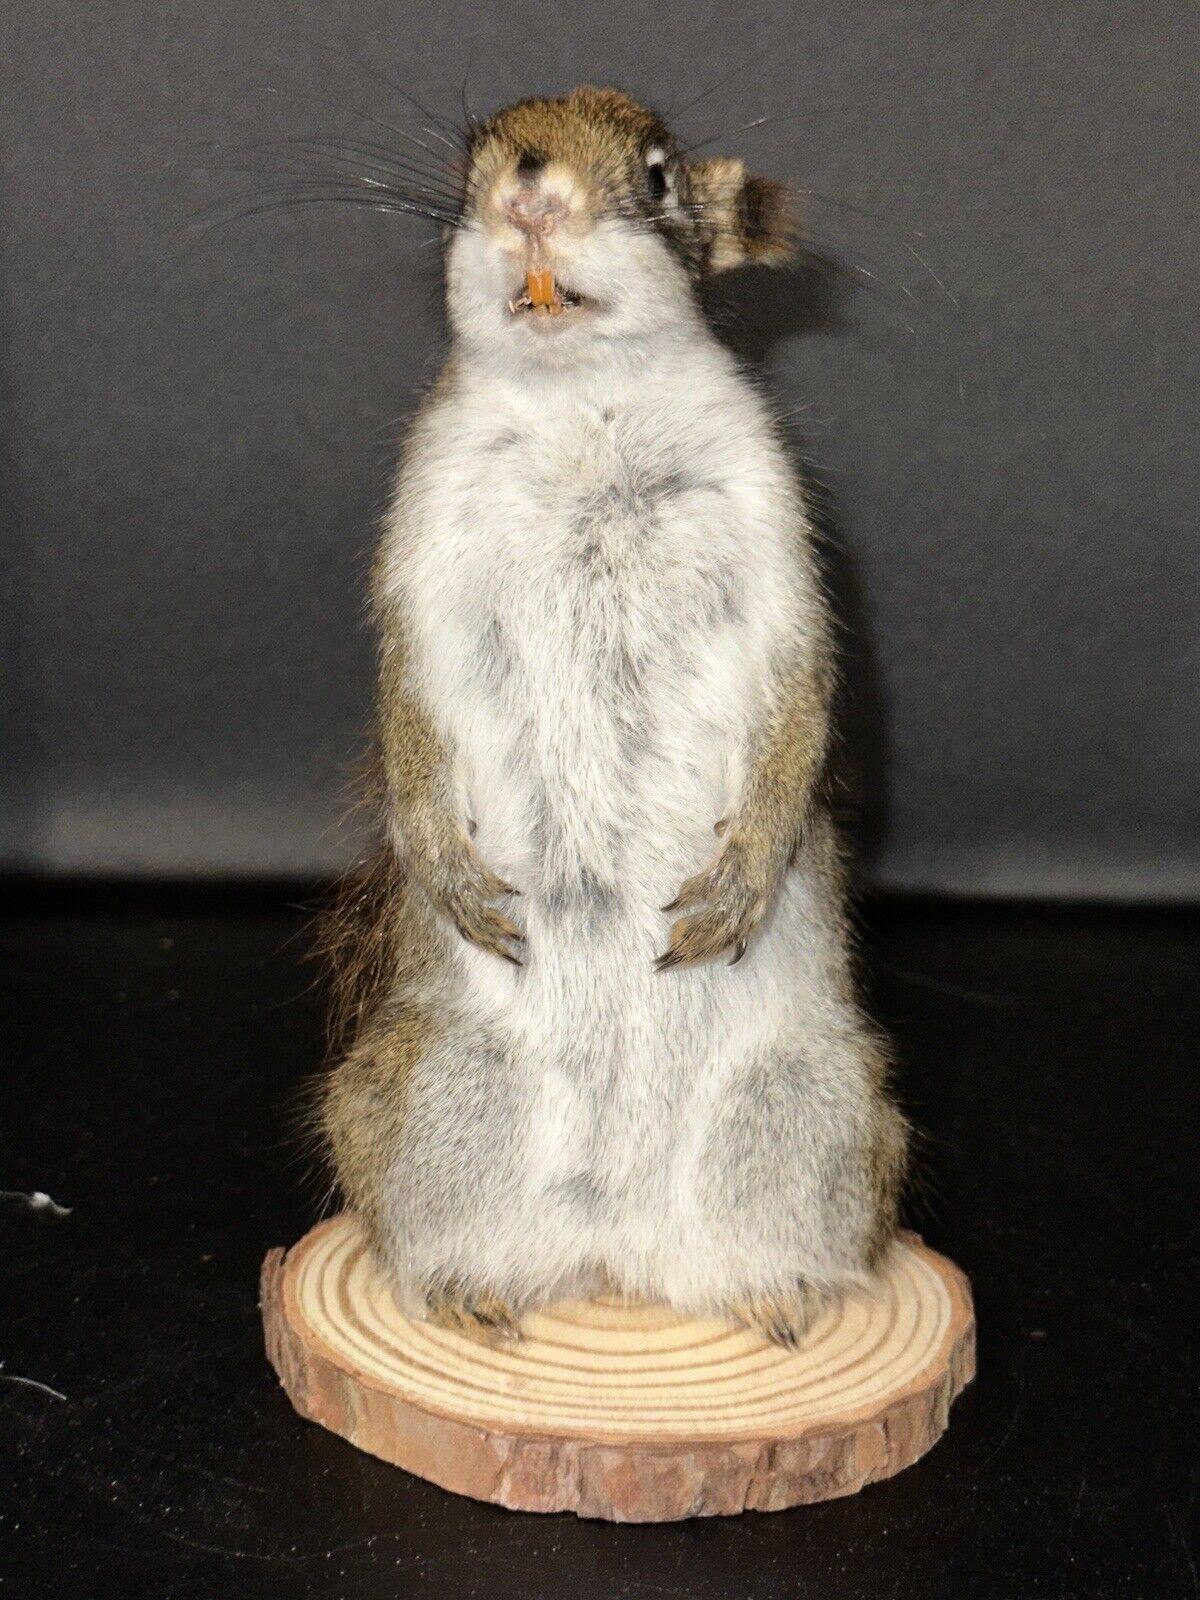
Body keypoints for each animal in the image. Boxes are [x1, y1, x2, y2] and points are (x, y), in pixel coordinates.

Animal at [316, 85, 908, 1348]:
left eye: (659, 175)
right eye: (471, 163)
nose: (531, 193)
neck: (580, 398)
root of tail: (614, 1245)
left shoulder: (776, 538)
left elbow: (804, 693)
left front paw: (746, 875)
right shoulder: (423, 555)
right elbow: (405, 701)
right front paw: (442, 858)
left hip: (815, 1109)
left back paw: (770, 1296)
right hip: (425, 1093)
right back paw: (468, 1290)